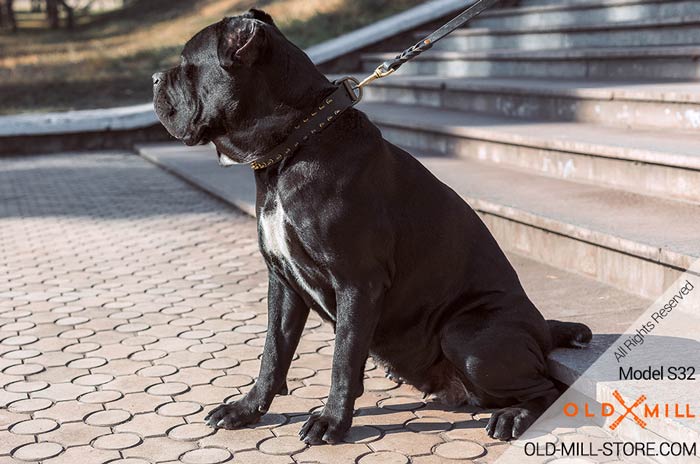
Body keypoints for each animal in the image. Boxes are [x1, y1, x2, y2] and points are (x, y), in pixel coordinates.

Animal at [153, 9, 592, 444]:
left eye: (187, 64)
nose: (155, 78)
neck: (295, 142)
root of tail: (542, 329)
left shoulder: (357, 283)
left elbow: (343, 358)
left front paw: (331, 421)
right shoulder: (283, 282)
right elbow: (273, 352)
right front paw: (247, 409)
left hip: (467, 337)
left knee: (546, 389)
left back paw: (513, 416)